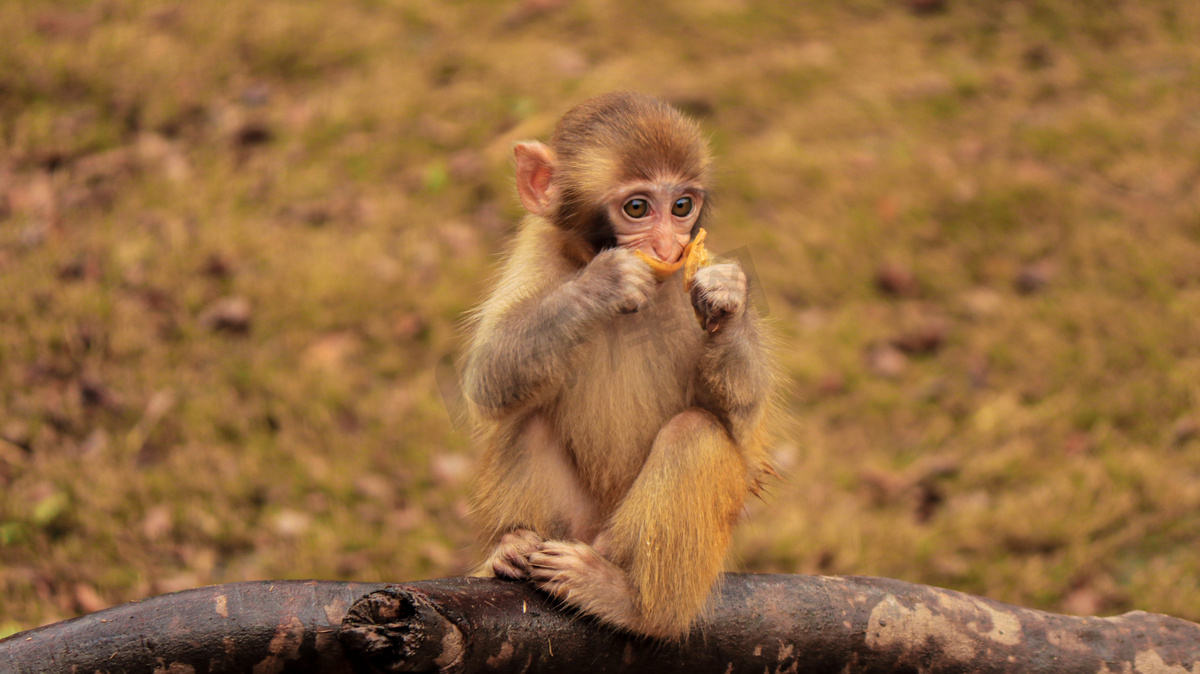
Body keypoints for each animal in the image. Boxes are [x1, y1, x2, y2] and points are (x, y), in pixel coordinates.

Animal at [463, 92, 772, 633]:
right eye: (637, 207)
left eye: (682, 206)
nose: (668, 247)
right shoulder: (537, 253)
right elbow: (488, 378)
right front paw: (603, 283)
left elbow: (742, 425)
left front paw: (728, 298)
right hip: (576, 523)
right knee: (529, 418)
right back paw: (512, 547)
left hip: (629, 538)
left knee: (695, 433)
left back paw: (634, 604)